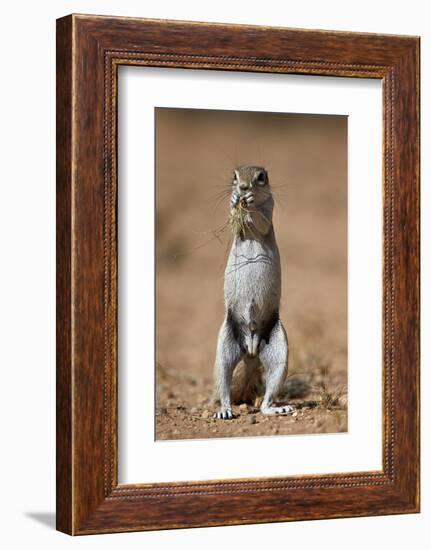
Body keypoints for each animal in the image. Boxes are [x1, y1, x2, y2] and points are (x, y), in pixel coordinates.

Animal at [214, 166, 296, 420]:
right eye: (234, 176)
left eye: (261, 177)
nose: (243, 188)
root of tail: (250, 351)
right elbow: (235, 222)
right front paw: (235, 201)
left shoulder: (270, 209)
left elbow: (262, 221)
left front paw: (248, 202)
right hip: (224, 348)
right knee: (223, 382)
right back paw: (225, 410)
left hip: (279, 350)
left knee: (266, 399)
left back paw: (277, 408)